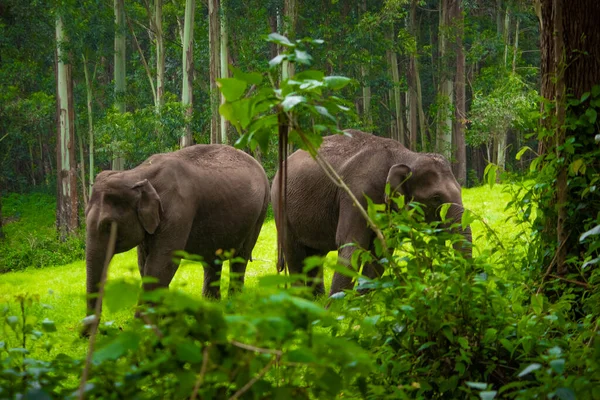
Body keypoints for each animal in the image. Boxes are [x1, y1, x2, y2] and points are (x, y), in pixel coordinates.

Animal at [84, 144, 270, 316]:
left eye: (108, 225)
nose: (86, 330)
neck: (138, 174)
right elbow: (144, 263)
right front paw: (164, 315)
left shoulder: (178, 211)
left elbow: (160, 263)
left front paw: (143, 324)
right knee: (213, 258)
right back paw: (212, 303)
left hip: (260, 211)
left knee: (241, 255)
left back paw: (234, 301)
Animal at [272, 130, 474, 296]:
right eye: (436, 198)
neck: (404, 155)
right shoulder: (357, 194)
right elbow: (352, 244)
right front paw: (336, 308)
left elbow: (381, 249)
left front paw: (362, 300)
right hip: (280, 208)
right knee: (295, 254)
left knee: (316, 255)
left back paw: (315, 298)